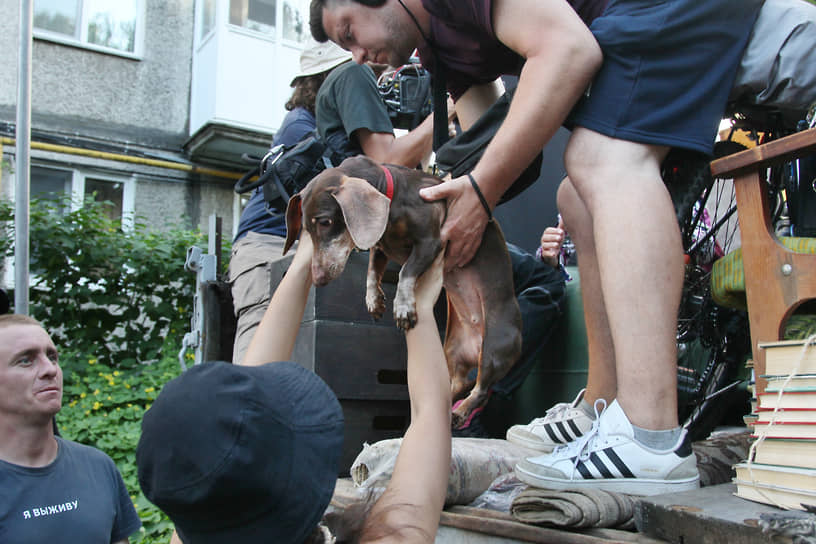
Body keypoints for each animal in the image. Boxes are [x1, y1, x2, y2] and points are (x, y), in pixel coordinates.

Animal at [284, 154, 520, 430]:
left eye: (325, 222)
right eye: (307, 230)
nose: (318, 279)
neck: (394, 198)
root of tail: (476, 347)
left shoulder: (431, 242)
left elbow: (405, 271)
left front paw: (403, 307)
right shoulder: (379, 247)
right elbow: (371, 273)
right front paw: (374, 301)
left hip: (495, 349)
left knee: (481, 390)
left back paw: (460, 412)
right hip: (452, 350)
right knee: (460, 383)